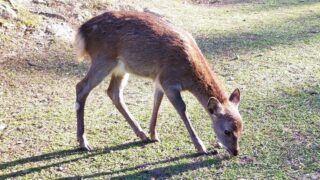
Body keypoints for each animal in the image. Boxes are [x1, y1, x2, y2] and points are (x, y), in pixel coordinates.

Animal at [75, 10, 244, 156]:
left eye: (242, 127)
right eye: (227, 131)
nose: (235, 151)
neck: (188, 74)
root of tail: (82, 31)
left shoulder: (159, 80)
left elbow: (157, 102)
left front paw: (153, 134)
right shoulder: (169, 80)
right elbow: (182, 109)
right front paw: (201, 147)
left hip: (120, 68)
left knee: (113, 92)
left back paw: (141, 134)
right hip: (103, 59)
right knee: (81, 87)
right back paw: (84, 143)